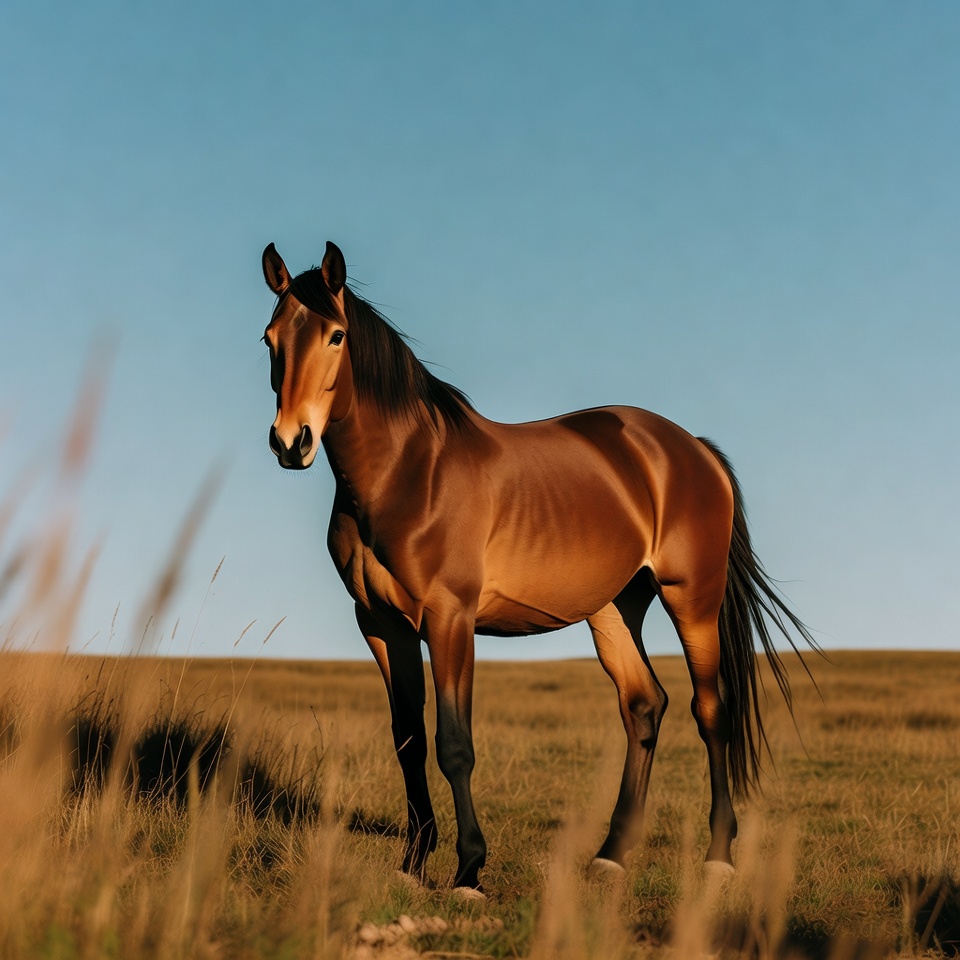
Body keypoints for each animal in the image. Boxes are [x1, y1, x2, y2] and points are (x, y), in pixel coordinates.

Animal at [261, 240, 816, 895]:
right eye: (270, 339)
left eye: (337, 336)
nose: (290, 442)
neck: (408, 473)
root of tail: (691, 449)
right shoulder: (380, 625)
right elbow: (408, 742)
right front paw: (412, 865)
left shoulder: (450, 619)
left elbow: (454, 744)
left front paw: (469, 869)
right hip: (614, 609)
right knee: (644, 705)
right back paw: (611, 856)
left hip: (692, 598)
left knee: (712, 713)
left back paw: (719, 857)